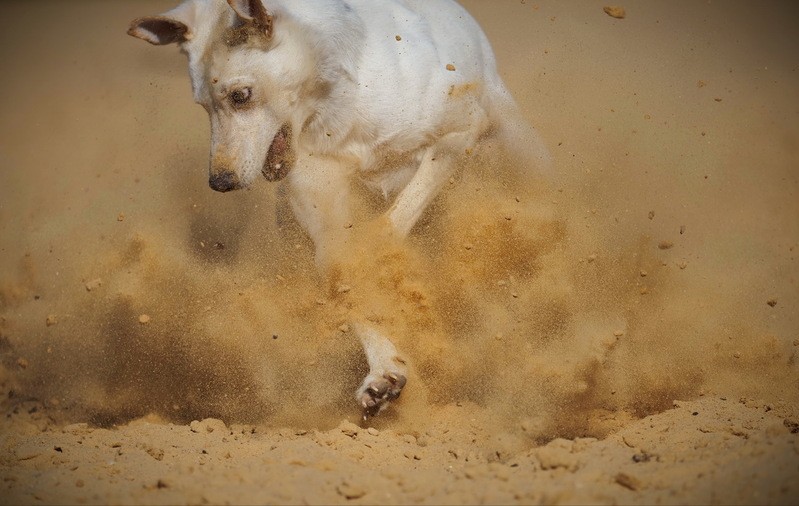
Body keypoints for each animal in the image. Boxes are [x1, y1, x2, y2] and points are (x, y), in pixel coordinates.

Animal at [130, 0, 552, 420]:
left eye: (240, 95)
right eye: (202, 105)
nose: (220, 182)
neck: (336, 99)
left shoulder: (457, 135)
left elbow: (393, 221)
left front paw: (382, 251)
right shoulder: (323, 210)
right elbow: (344, 276)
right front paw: (384, 371)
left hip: (518, 143)